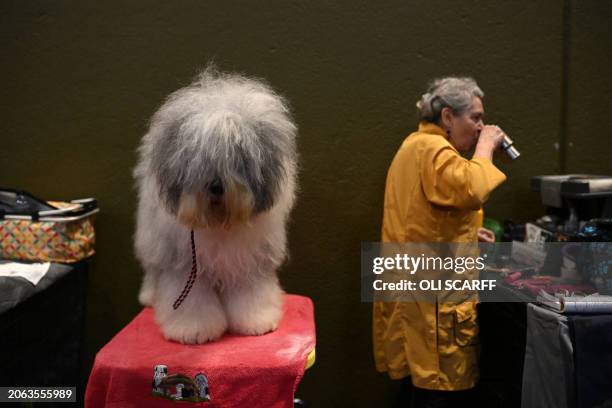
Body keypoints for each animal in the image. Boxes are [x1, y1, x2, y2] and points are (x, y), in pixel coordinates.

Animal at [133, 67, 296, 344]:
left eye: (237, 156)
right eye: (197, 158)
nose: (217, 186)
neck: (220, 222)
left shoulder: (248, 260)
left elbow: (251, 294)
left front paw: (257, 321)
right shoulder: (184, 265)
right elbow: (192, 302)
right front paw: (193, 330)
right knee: (153, 269)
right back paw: (149, 296)